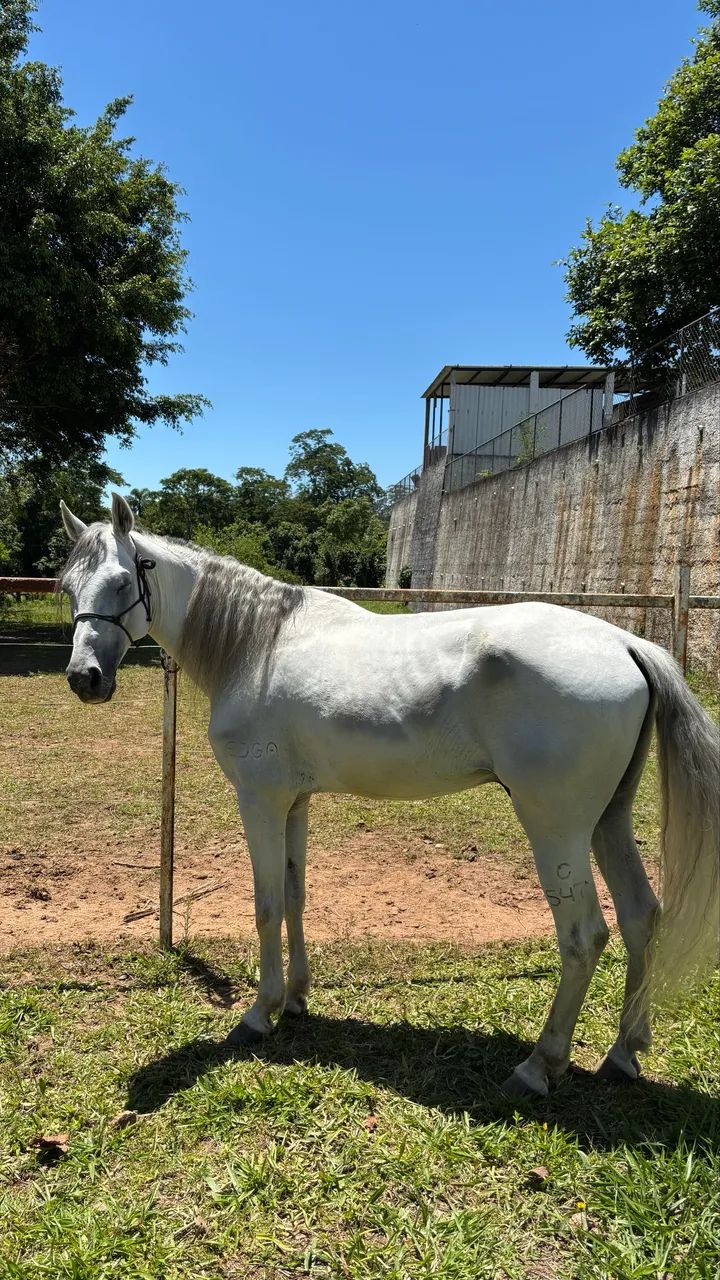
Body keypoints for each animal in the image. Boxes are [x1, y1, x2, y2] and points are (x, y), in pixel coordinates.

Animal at [58, 493, 719, 1098]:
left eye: (123, 580)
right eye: (68, 586)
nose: (85, 679)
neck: (257, 647)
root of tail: (626, 645)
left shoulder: (260, 802)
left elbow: (267, 904)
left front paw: (259, 1014)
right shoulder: (295, 803)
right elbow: (295, 897)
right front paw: (295, 998)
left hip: (556, 829)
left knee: (585, 936)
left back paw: (539, 1066)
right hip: (609, 820)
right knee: (640, 917)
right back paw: (624, 1053)